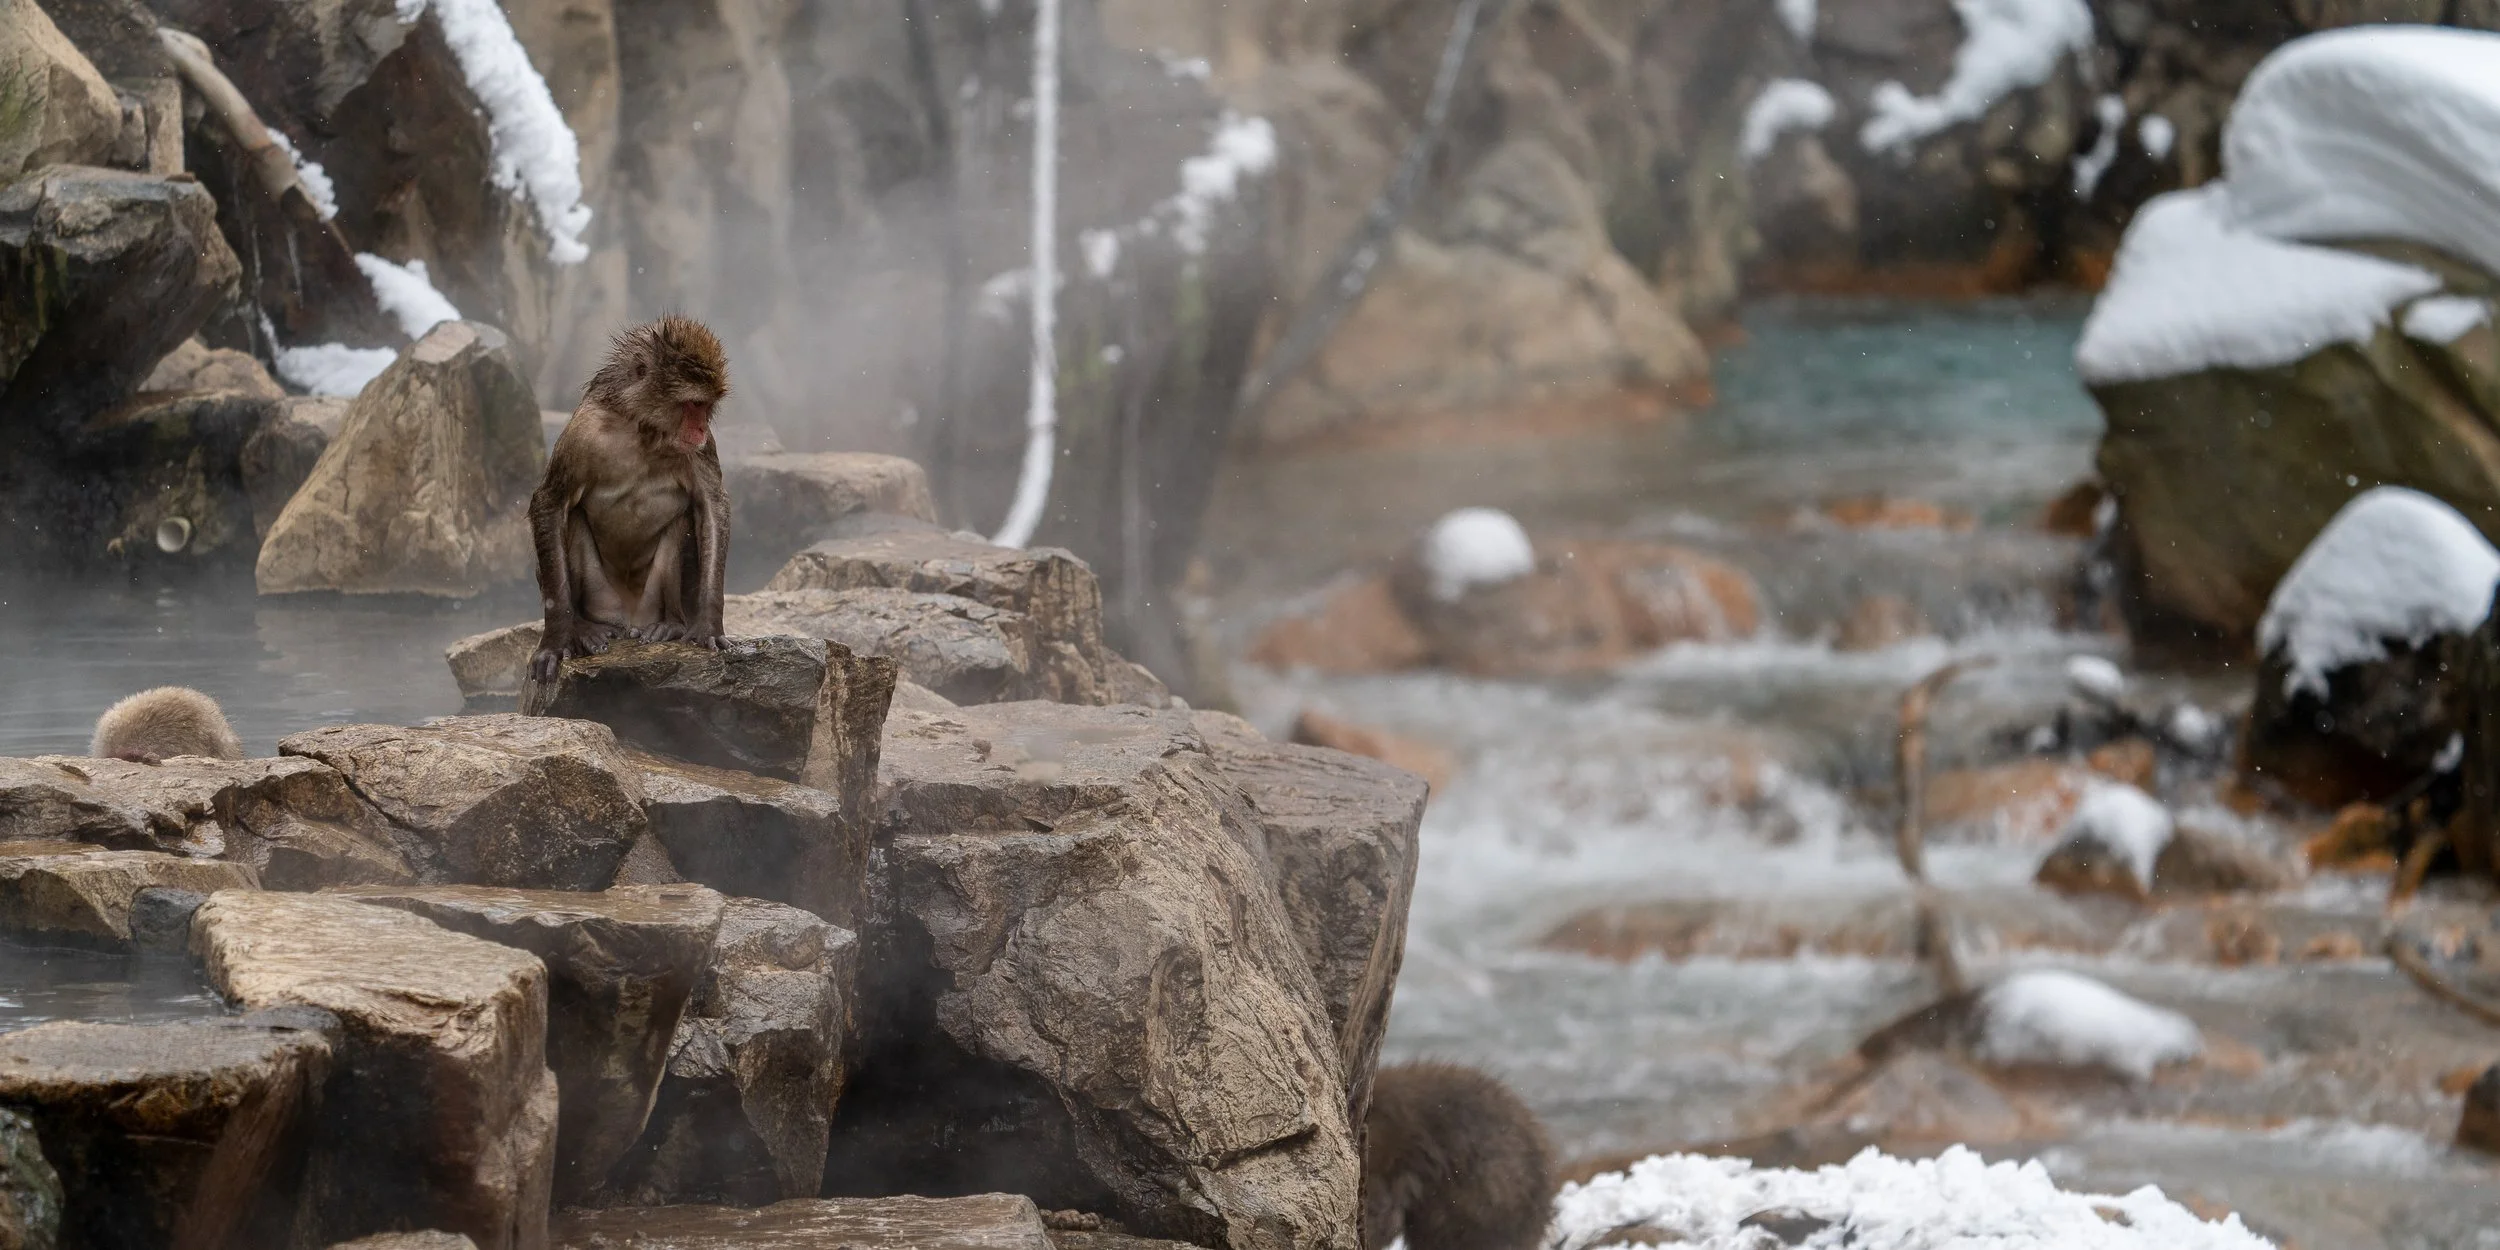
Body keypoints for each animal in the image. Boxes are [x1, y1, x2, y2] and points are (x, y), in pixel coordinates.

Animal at [529, 316, 733, 683]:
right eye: (694, 405)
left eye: (706, 407)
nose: (699, 429)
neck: (642, 429)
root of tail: (628, 619)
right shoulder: (581, 434)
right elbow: (550, 503)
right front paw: (556, 640)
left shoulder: (702, 448)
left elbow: (711, 505)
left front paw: (709, 623)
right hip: (601, 599)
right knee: (572, 516)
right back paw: (582, 627)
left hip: (652, 601)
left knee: (682, 521)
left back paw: (671, 625)